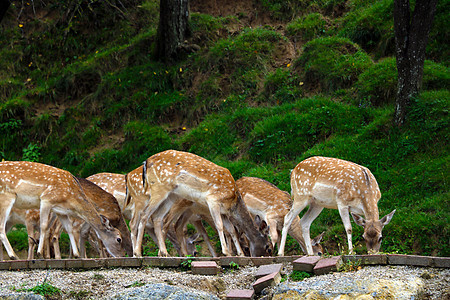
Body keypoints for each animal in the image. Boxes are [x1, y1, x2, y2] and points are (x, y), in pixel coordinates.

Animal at [142, 149, 272, 256]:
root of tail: (147, 161)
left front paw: (239, 254)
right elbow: (219, 225)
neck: (233, 202)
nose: (267, 256)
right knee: (160, 220)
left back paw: (165, 253)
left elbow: (231, 230)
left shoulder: (224, 212)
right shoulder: (213, 200)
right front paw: (226, 252)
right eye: (268, 247)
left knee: (167, 222)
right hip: (169, 198)